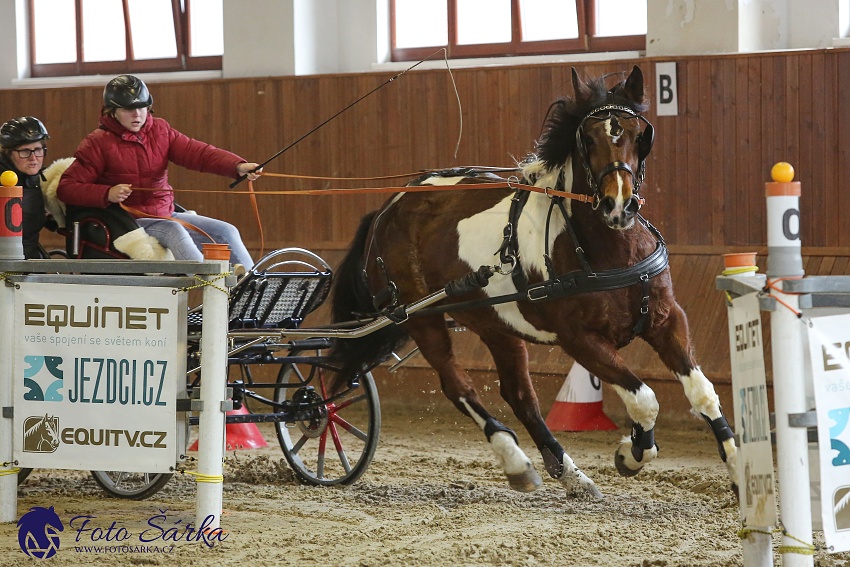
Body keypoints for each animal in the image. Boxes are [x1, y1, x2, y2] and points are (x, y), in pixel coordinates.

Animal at [326, 64, 736, 496]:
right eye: (588, 138)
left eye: (637, 133)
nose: (618, 205)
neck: (609, 248)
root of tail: (388, 207)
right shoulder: (580, 339)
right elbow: (644, 399)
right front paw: (632, 453)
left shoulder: (665, 318)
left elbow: (703, 393)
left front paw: (740, 470)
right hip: (423, 319)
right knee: (459, 387)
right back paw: (515, 459)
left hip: (495, 324)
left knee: (519, 395)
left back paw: (569, 473)